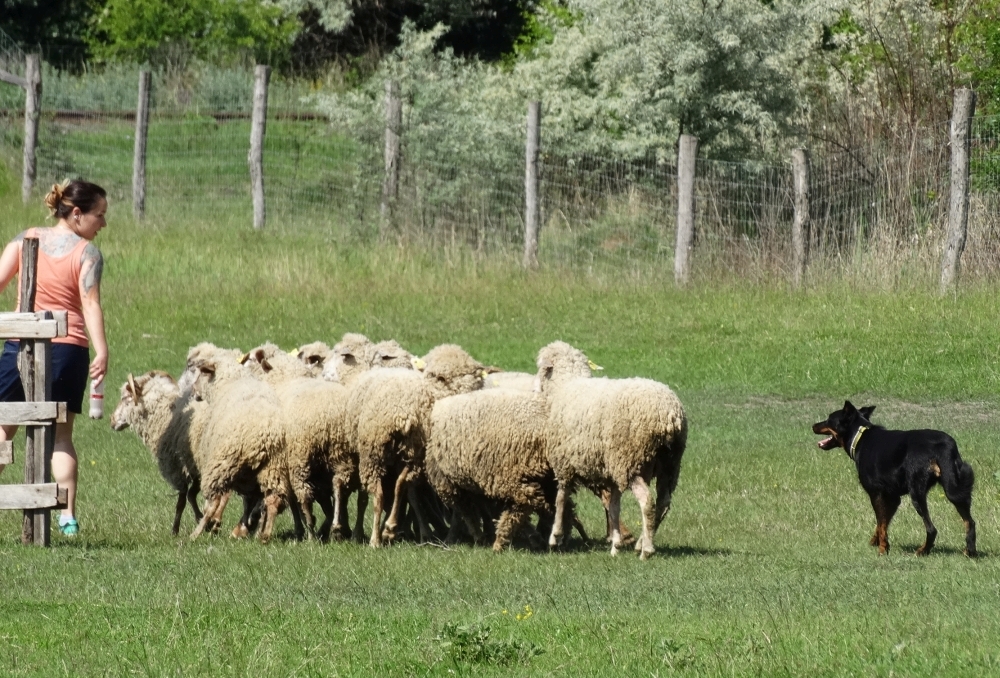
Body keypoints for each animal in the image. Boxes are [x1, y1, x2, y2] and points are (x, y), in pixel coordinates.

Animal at [111, 372, 205, 536]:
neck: (165, 412)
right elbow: (191, 495)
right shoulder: (193, 468)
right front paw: (202, 520)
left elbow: (182, 500)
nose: (111, 420)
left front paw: (175, 530)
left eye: (124, 398)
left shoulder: (177, 468)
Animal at [188, 354, 290, 544]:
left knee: (214, 500)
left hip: (222, 463)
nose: (193, 392)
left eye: (201, 374)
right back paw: (264, 536)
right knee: (272, 499)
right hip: (273, 467)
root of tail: (261, 434)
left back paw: (197, 532)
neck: (229, 382)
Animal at [350, 346, 486, 548]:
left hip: (389, 454)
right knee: (384, 492)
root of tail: (401, 416)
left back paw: (382, 534)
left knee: (387, 492)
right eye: (443, 377)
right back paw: (380, 534)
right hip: (384, 453)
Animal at [540, 342, 688, 560]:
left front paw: (555, 536)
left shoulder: (564, 462)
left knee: (648, 502)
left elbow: (561, 498)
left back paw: (646, 550)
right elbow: (614, 506)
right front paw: (616, 544)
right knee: (664, 503)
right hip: (669, 463)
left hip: (631, 461)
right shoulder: (612, 472)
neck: (567, 384)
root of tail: (669, 415)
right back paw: (641, 541)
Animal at [812, 404, 976, 556]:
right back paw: (970, 551)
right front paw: (875, 541)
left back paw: (922, 551)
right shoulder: (893, 497)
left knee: (932, 529)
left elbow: (881, 522)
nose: (813, 425)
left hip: (917, 493)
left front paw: (882, 549)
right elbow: (883, 523)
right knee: (970, 521)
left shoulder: (876, 494)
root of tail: (944, 445)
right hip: (955, 488)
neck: (860, 436)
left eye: (829, 419)